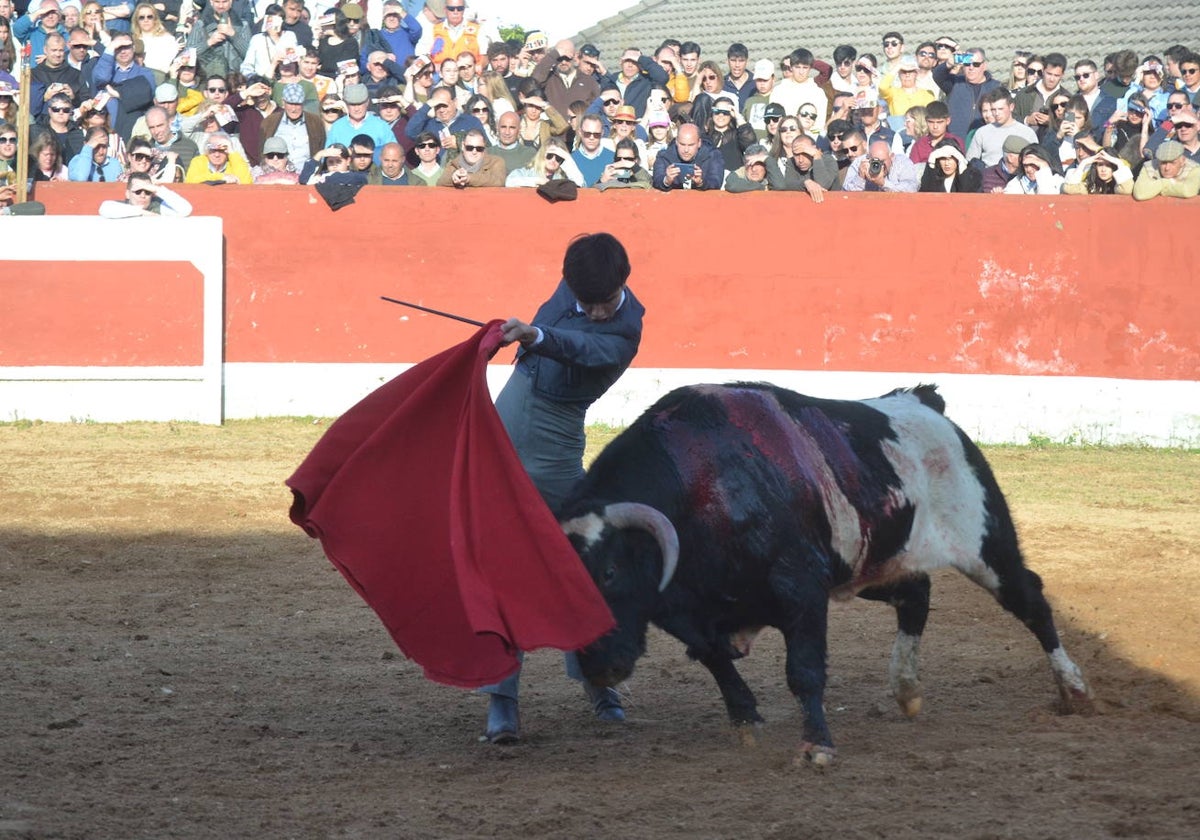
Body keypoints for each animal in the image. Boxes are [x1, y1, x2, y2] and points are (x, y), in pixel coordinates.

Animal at [556, 384, 1094, 763]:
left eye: (609, 571)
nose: (599, 667)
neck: (703, 488)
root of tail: (924, 402)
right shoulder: (682, 611)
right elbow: (715, 659)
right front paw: (746, 719)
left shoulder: (801, 590)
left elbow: (804, 671)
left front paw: (816, 745)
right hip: (870, 569)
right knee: (915, 595)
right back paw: (906, 689)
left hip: (988, 546)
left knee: (1030, 600)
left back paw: (1074, 690)